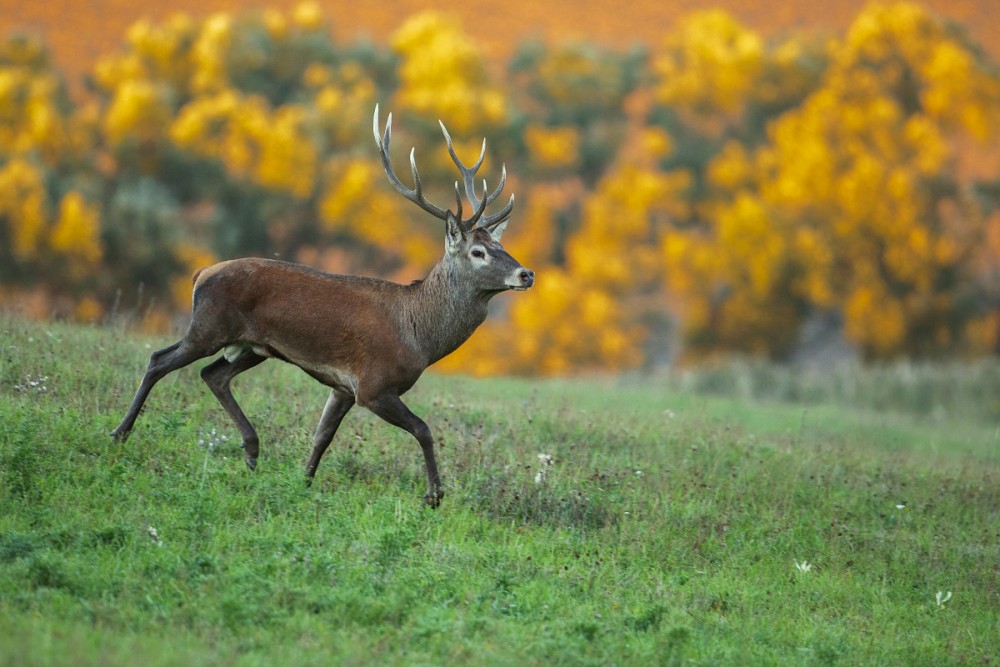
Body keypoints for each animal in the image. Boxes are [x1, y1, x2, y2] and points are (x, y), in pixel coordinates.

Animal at [109, 107, 536, 508]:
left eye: (500, 245)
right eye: (478, 252)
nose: (527, 273)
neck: (419, 336)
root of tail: (200, 273)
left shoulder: (343, 386)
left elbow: (322, 436)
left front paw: (304, 482)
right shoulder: (373, 385)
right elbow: (424, 429)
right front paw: (434, 496)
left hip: (252, 346)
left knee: (212, 375)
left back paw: (252, 451)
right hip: (209, 326)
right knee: (159, 360)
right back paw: (120, 434)